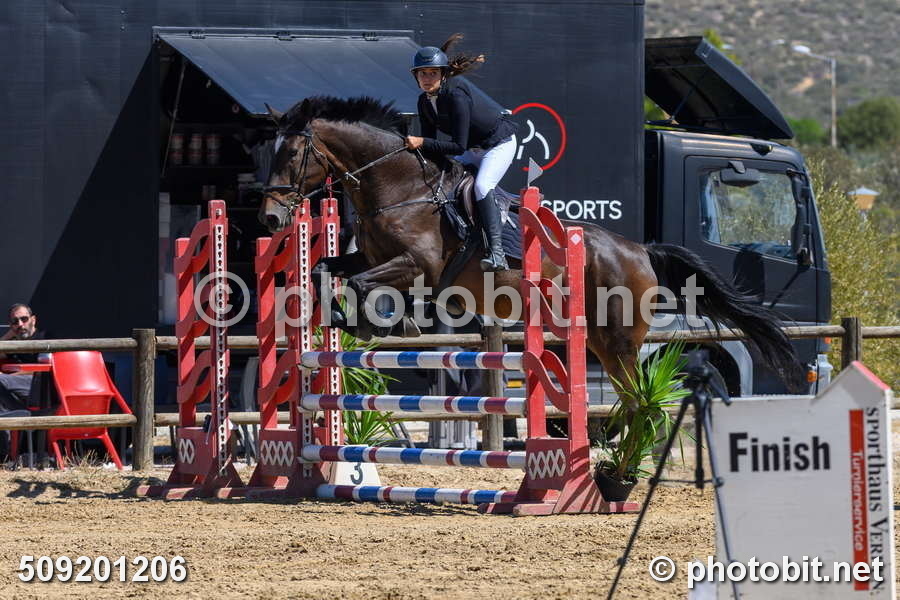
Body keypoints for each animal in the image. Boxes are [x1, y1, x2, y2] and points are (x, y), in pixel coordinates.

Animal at [258, 96, 807, 410]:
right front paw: (336, 321)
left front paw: (378, 324)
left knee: (635, 397)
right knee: (627, 397)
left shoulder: (419, 269)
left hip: (620, 338)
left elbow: (359, 285)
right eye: (270, 152)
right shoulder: (370, 258)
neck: (398, 186)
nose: (270, 219)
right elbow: (326, 269)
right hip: (599, 340)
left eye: (293, 154)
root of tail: (641, 252)